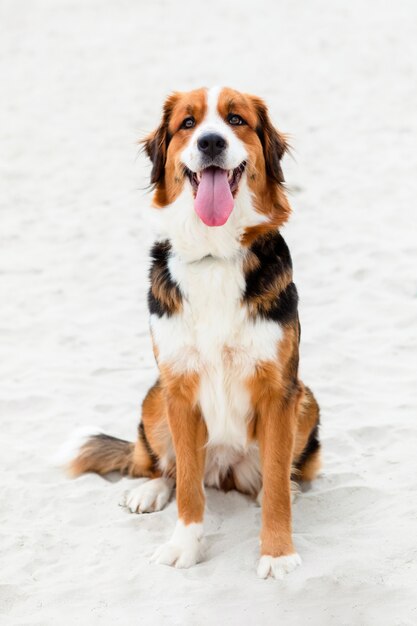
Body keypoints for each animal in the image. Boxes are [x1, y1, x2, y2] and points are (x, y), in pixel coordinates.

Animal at [69, 85, 322, 576]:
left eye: (236, 119)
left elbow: (276, 483)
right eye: (188, 123)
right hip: (155, 398)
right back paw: (149, 489)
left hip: (306, 402)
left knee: (278, 475)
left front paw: (277, 553)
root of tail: (224, 467)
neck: (215, 255)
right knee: (162, 466)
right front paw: (184, 546)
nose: (210, 142)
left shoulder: (278, 390)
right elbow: (186, 482)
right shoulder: (180, 390)